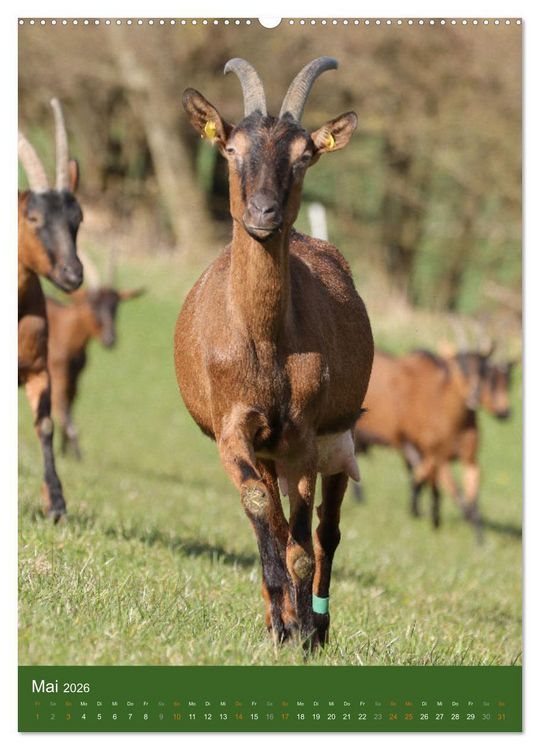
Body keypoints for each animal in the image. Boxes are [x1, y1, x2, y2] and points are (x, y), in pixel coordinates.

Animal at [46, 253, 144, 459]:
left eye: (116, 306)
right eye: (93, 303)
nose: (110, 339)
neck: (62, 330)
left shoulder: (75, 378)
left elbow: (68, 405)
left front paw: (67, 451)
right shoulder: (57, 374)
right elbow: (62, 408)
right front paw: (75, 451)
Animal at [175, 58, 373, 648]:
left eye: (305, 154)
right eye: (231, 148)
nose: (263, 213)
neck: (264, 343)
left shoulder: (303, 436)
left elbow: (303, 545)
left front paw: (305, 631)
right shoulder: (235, 428)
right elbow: (264, 512)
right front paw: (283, 625)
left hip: (337, 439)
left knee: (326, 530)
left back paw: (320, 623)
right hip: (265, 451)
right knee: (279, 519)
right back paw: (280, 616)